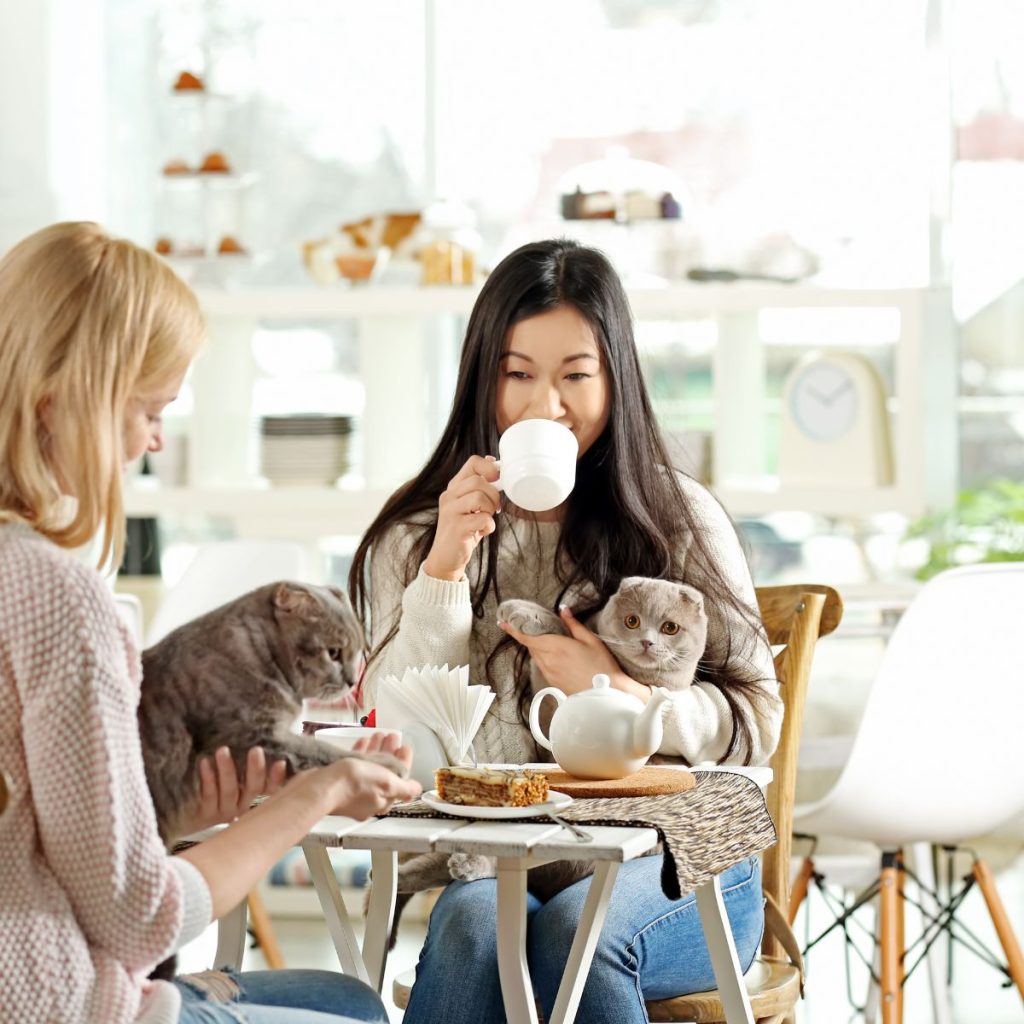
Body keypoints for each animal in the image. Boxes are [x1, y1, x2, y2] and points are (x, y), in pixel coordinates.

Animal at [137, 581, 407, 843]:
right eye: (333, 653)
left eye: (356, 652)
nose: (352, 681)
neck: (259, 655)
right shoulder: (250, 737)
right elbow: (324, 751)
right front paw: (383, 763)